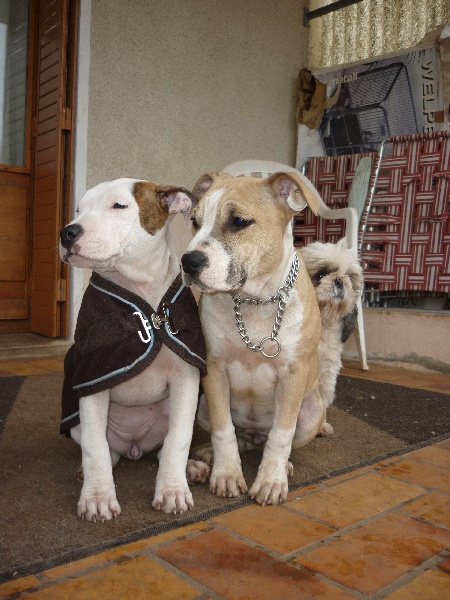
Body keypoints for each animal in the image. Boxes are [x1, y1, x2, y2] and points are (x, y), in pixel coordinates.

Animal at [58, 178, 209, 520]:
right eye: (79, 209)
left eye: (119, 205)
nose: (67, 232)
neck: (141, 290)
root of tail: (135, 447)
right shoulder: (94, 380)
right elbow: (95, 447)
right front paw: (98, 497)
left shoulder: (187, 378)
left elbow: (178, 439)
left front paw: (173, 490)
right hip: (78, 423)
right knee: (106, 449)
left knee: (163, 447)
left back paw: (191, 468)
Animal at [181, 172, 326, 506]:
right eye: (194, 221)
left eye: (238, 222)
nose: (188, 261)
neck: (255, 302)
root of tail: (254, 434)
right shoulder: (214, 368)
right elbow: (223, 430)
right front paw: (227, 474)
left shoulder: (294, 373)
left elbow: (282, 434)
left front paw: (271, 480)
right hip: (202, 403)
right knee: (239, 437)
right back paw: (213, 453)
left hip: (313, 409)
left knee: (277, 438)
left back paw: (284, 466)